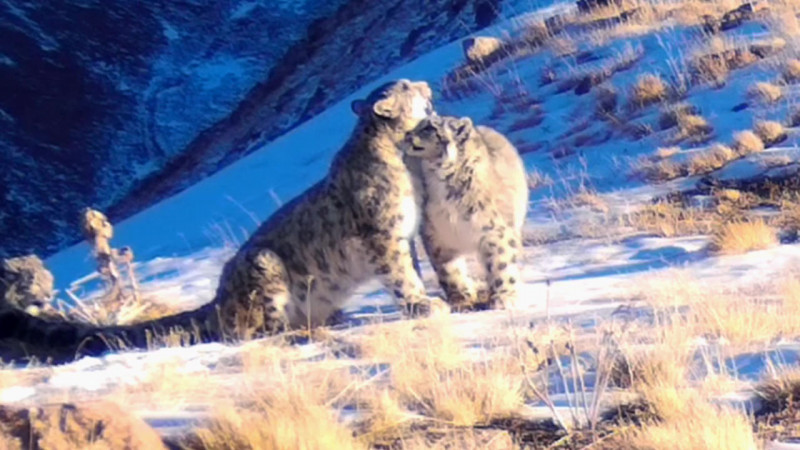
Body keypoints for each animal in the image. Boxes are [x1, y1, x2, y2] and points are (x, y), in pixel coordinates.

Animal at [0, 79, 450, 364]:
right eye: (407, 86)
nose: (426, 84)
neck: (405, 161)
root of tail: (217, 298)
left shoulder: (404, 235)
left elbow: (411, 267)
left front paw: (426, 297)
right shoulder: (383, 236)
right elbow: (400, 274)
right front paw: (422, 304)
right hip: (264, 267)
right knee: (258, 331)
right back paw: (303, 331)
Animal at [404, 116, 528, 312]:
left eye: (429, 127)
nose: (407, 134)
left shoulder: (494, 230)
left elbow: (501, 261)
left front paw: (504, 297)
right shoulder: (437, 235)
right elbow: (449, 270)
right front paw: (461, 300)